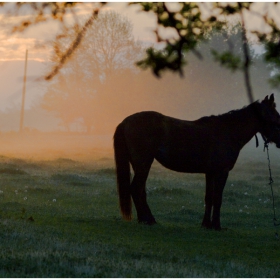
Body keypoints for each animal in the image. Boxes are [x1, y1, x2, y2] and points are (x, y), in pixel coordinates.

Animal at [112, 94, 280, 230]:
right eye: (275, 117)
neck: (228, 131)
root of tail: (126, 121)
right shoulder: (222, 172)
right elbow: (218, 198)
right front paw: (217, 226)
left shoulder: (210, 173)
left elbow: (209, 198)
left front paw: (206, 224)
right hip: (143, 164)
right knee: (136, 188)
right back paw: (145, 220)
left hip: (139, 165)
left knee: (141, 190)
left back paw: (149, 219)